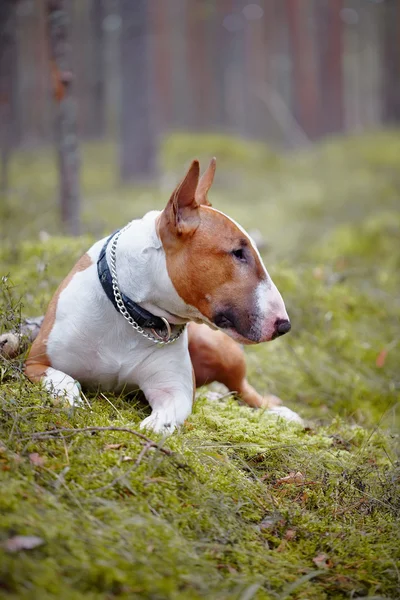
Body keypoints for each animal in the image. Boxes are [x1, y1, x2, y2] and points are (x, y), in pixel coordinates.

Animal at [25, 159, 300, 432]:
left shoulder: (174, 390)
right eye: (238, 253)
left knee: (244, 391)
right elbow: (64, 380)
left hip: (221, 351)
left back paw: (280, 413)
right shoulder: (36, 363)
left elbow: (164, 418)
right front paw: (72, 403)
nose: (283, 325)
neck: (131, 314)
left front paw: (152, 428)